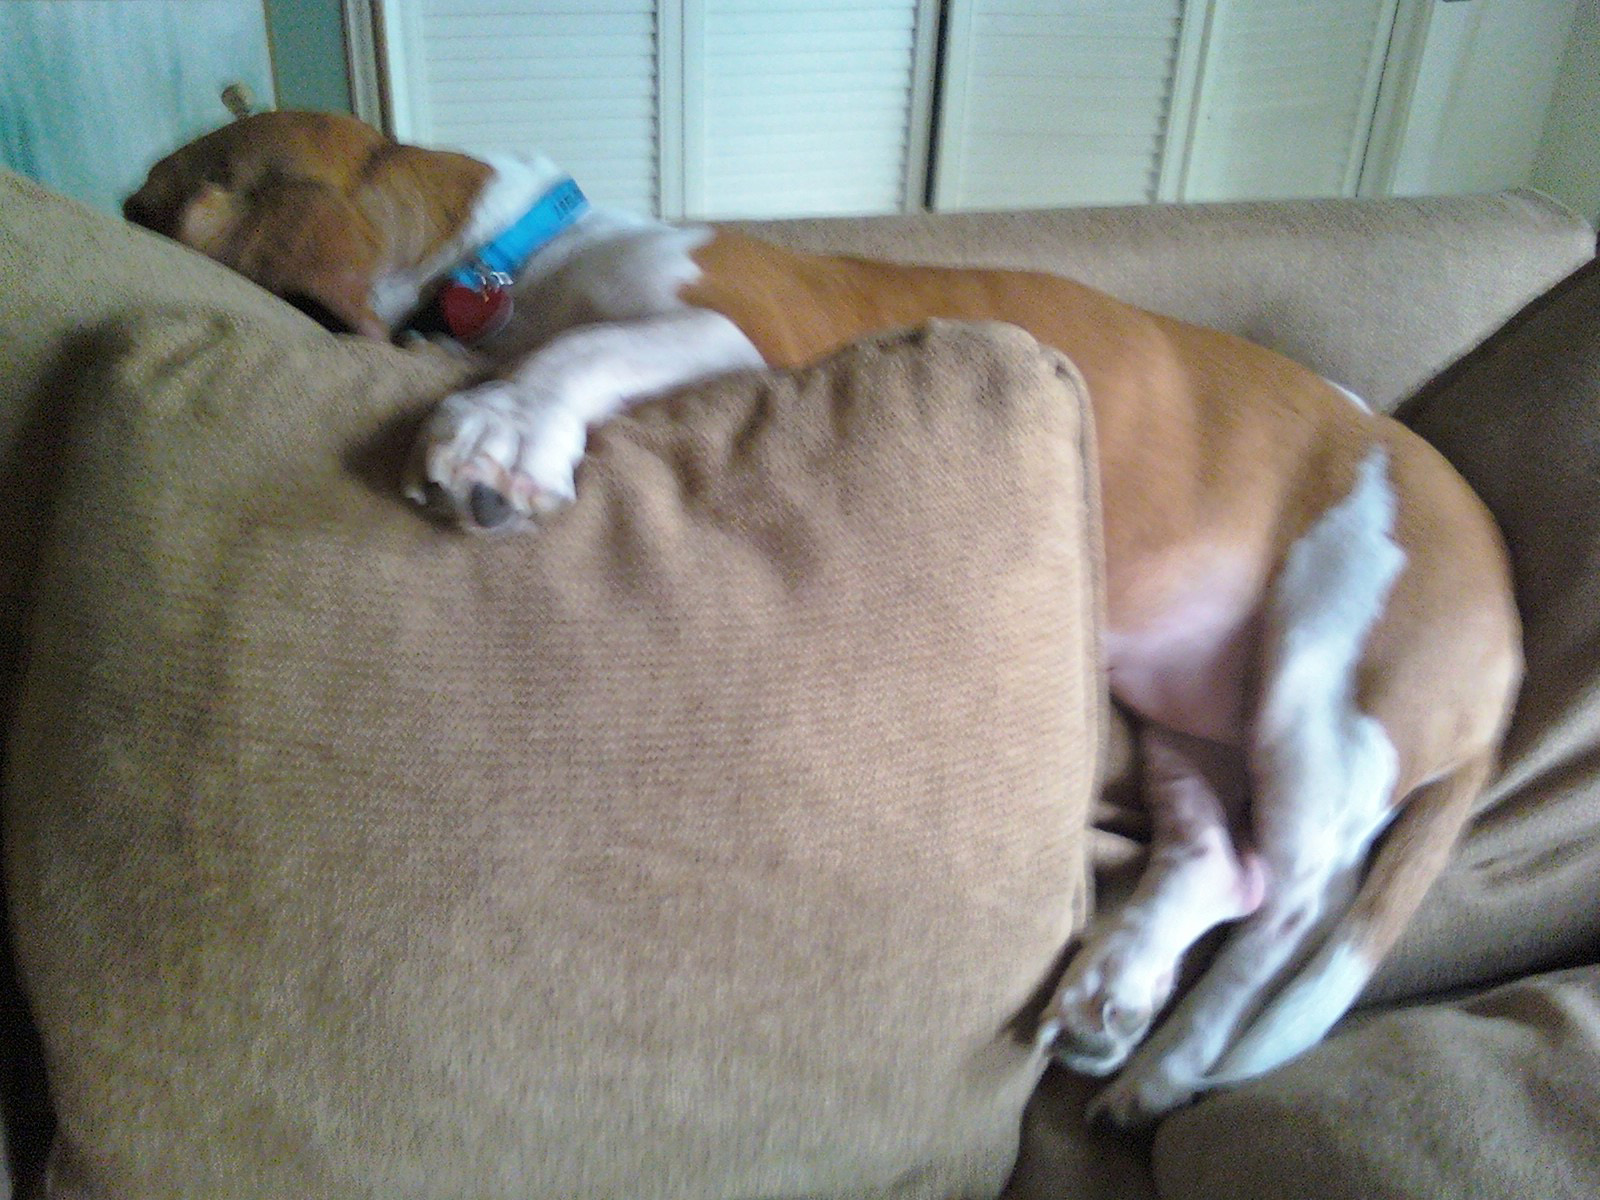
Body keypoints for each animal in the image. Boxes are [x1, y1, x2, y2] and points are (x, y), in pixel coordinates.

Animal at [125, 111, 1522, 1125]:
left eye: (152, 199)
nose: (122, 213)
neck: (518, 256)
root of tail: (1503, 610)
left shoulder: (716, 327)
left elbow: (580, 357)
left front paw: (500, 431)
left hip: (1320, 688)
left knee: (1298, 900)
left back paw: (1174, 1067)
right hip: (1183, 707)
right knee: (1220, 861)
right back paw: (1117, 992)